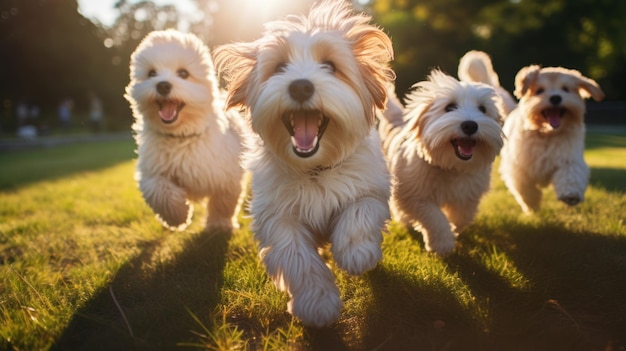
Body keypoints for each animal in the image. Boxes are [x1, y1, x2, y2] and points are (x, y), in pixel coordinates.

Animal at [125, 30, 246, 232]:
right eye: (151, 73)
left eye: (183, 73)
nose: (163, 85)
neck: (181, 136)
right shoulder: (152, 171)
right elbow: (159, 191)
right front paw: (178, 216)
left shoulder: (227, 176)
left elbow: (223, 203)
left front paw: (220, 225)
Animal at [212, 1, 392, 328]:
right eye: (279, 67)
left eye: (330, 66)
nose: (300, 87)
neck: (314, 169)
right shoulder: (277, 218)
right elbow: (298, 257)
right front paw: (317, 303)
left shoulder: (370, 188)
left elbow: (359, 211)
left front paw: (356, 252)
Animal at [376, 69, 502, 256]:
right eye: (449, 107)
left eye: (482, 109)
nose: (470, 125)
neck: (450, 166)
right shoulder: (414, 195)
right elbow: (434, 217)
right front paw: (443, 243)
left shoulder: (469, 194)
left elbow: (462, 216)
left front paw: (454, 230)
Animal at [492, 63, 604, 213]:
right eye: (540, 90)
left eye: (565, 89)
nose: (555, 97)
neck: (547, 134)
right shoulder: (519, 166)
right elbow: (526, 187)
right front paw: (532, 203)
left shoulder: (569, 158)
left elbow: (570, 174)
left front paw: (571, 195)